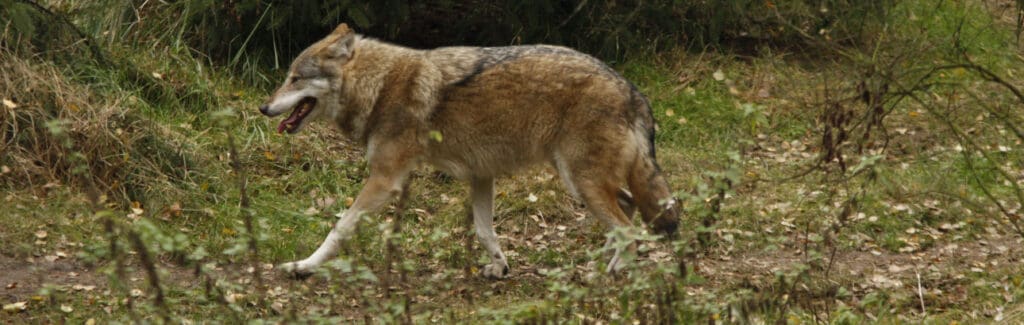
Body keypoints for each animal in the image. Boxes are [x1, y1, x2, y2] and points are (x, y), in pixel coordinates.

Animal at [262, 22, 679, 276]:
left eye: (295, 79)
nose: (264, 108)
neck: (378, 87)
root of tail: (632, 90)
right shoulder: (481, 176)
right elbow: (484, 231)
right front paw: (500, 267)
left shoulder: (384, 179)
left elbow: (339, 227)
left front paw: (304, 266)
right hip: (582, 183)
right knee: (629, 211)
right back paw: (607, 262)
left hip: (581, 181)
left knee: (629, 227)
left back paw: (612, 273)